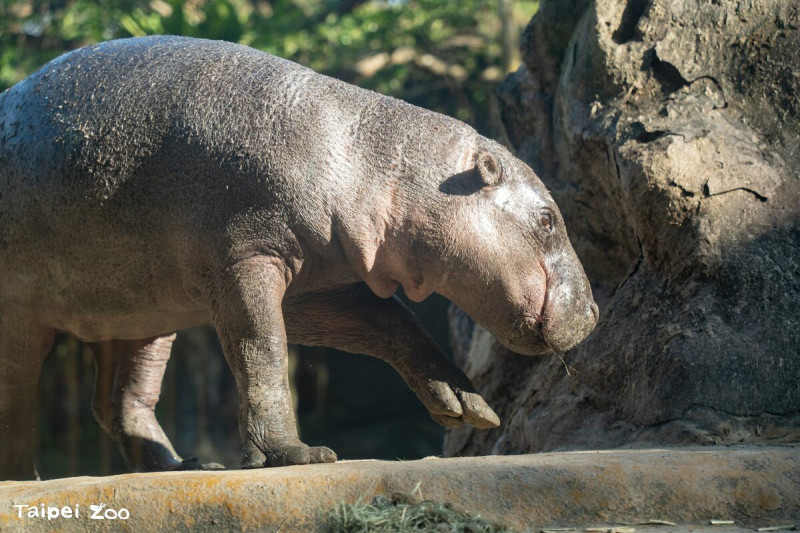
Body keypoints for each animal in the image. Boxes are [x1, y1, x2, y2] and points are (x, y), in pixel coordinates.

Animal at [0, 36, 596, 478]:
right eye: (548, 219)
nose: (593, 314)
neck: (375, 163)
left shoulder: (315, 283)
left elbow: (392, 322)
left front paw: (469, 404)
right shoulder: (245, 259)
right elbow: (261, 350)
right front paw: (297, 456)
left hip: (137, 313)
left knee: (121, 401)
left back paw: (183, 466)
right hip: (24, 319)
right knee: (18, 401)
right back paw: (26, 479)